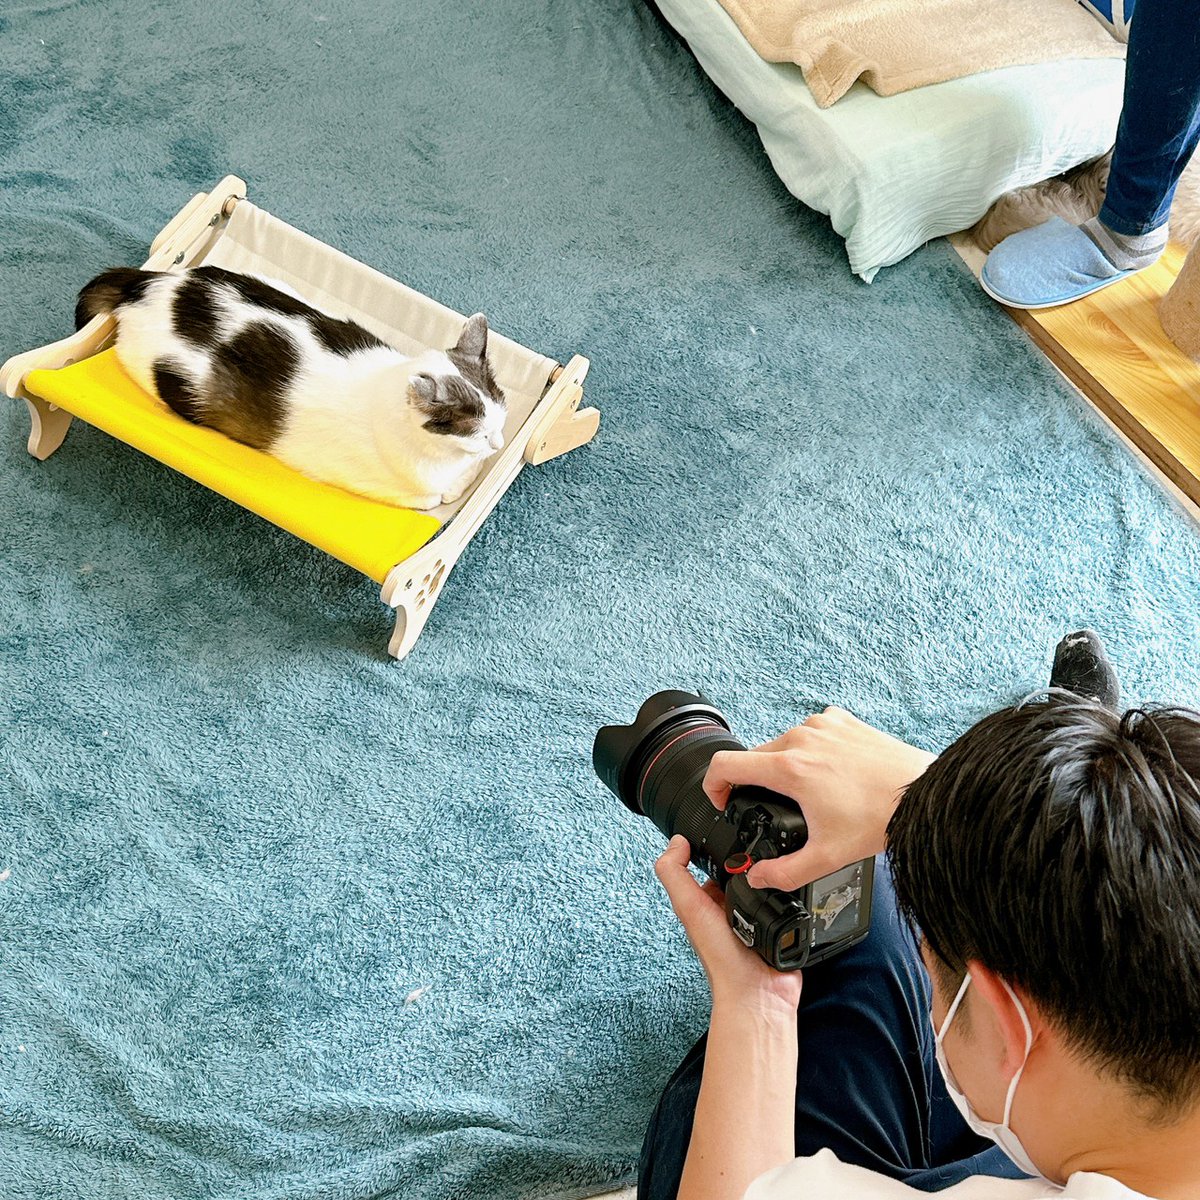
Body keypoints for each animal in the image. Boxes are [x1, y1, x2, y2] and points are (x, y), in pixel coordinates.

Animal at [75, 267, 506, 511]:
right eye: (479, 433)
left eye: (502, 420)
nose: (500, 444)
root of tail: (153, 284)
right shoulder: (415, 493)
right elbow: (445, 493)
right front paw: (465, 477)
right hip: (177, 380)